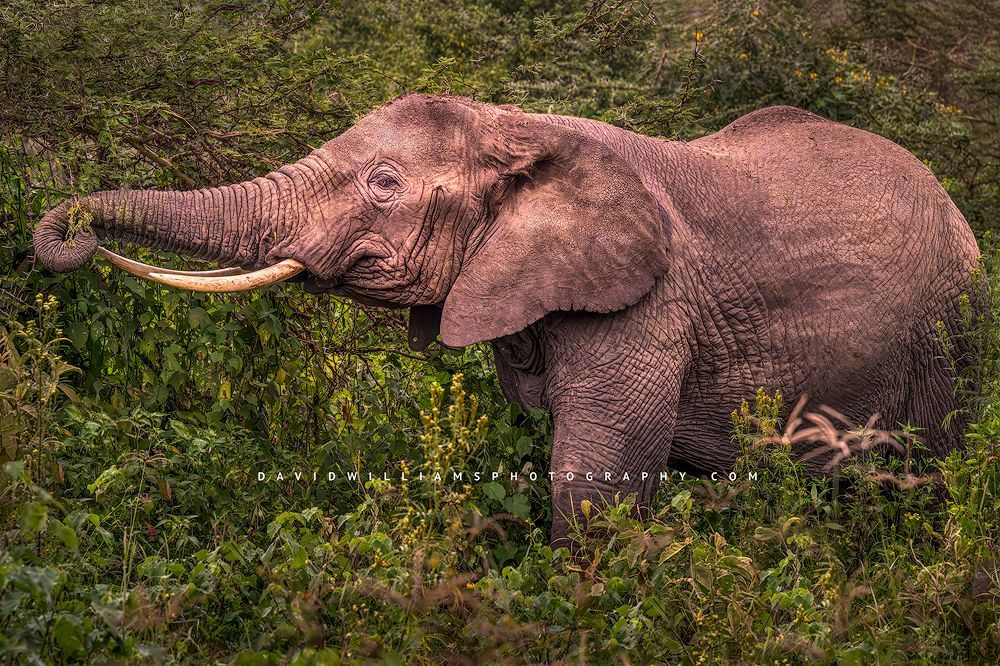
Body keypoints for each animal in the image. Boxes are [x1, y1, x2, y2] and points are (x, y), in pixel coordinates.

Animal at [33, 94, 983, 544]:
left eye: (384, 184)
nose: (71, 229)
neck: (520, 127)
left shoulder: (647, 308)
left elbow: (595, 480)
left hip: (951, 342)